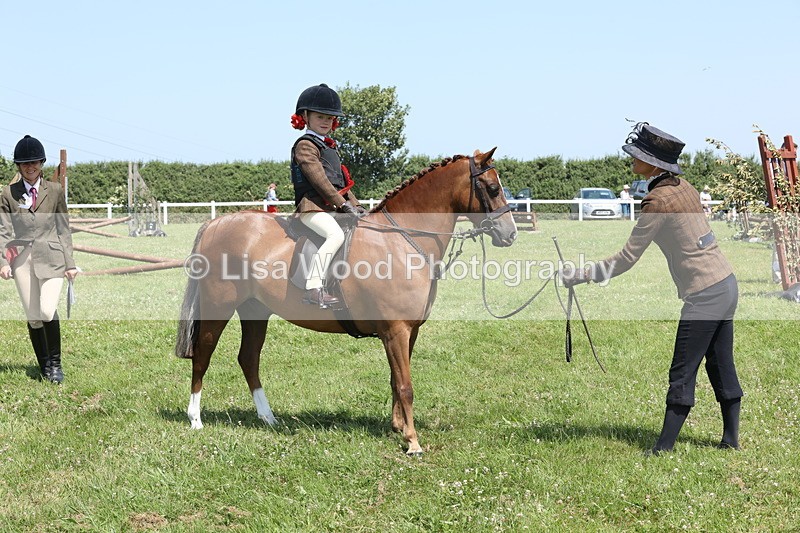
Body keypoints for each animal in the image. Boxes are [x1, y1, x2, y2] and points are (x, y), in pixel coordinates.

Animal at [175, 148, 517, 455]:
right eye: (492, 187)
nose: (510, 234)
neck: (400, 240)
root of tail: (217, 223)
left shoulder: (407, 331)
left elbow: (395, 379)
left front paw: (398, 427)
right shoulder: (396, 330)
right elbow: (405, 386)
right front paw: (413, 442)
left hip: (255, 311)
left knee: (248, 359)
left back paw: (268, 418)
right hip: (218, 307)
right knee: (203, 355)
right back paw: (196, 419)